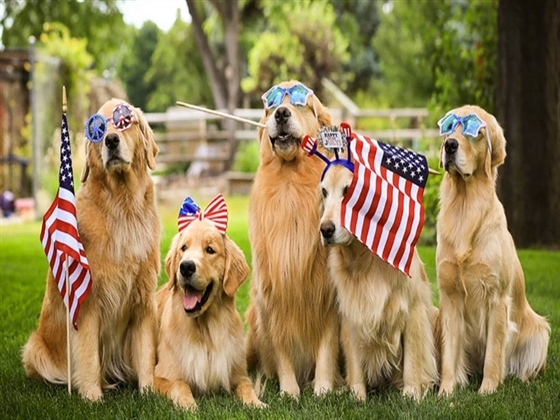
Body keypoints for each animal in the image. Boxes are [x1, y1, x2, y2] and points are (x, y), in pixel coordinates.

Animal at [245, 79, 342, 398]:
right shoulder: (272, 293)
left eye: (301, 102)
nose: (282, 114)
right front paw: (289, 391)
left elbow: (326, 347)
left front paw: (323, 388)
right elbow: (281, 349)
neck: (290, 185)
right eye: (272, 104)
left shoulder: (327, 294)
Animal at [318, 163, 440, 400]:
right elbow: (355, 363)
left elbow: (412, 359)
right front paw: (358, 397)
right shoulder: (351, 314)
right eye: (324, 192)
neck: (365, 260)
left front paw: (412, 395)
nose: (325, 230)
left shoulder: (413, 310)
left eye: (349, 190)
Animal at [436, 103, 548, 396]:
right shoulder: (449, 295)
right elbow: (449, 355)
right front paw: (445, 392)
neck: (465, 207)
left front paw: (487, 389)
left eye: (474, 130)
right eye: (449, 127)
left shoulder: (497, 297)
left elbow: (494, 354)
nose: (450, 145)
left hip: (540, 332)